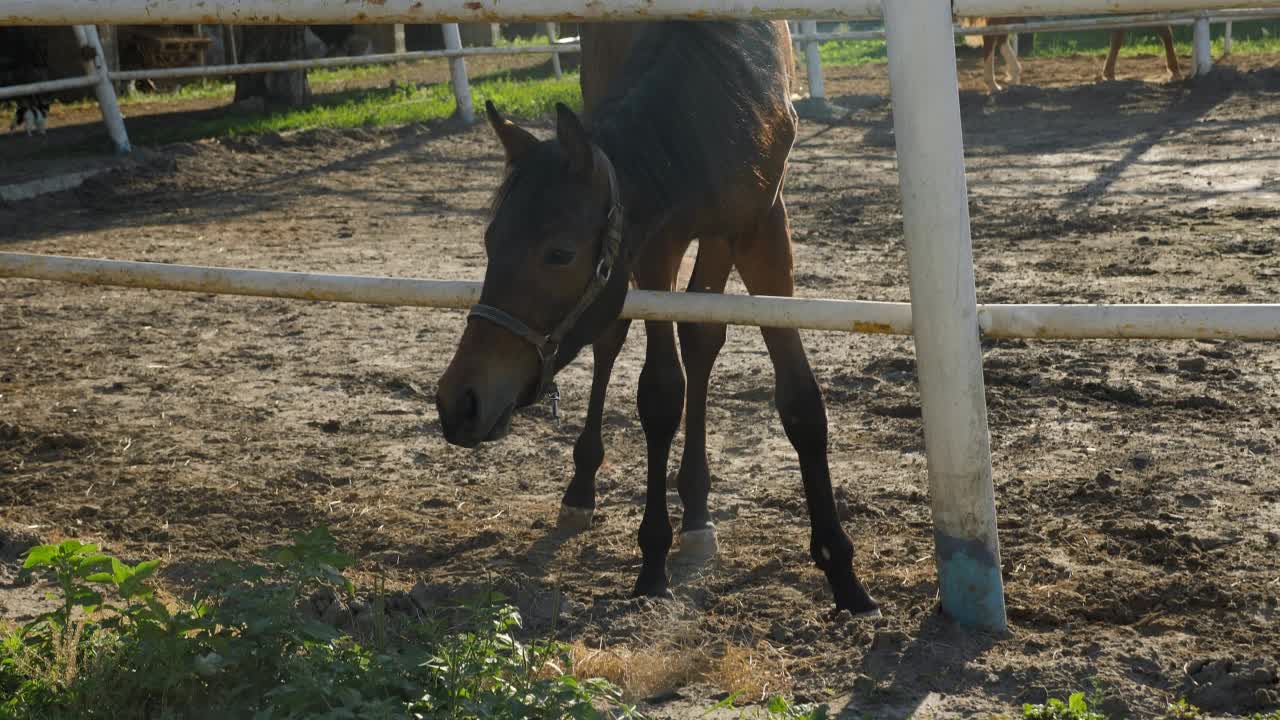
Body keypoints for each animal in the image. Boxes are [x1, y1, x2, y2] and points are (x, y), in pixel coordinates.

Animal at [435, 22, 885, 617]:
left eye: (560, 253)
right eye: (489, 242)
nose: (458, 401)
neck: (711, 95)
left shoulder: (761, 228)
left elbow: (798, 401)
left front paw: (843, 572)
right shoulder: (655, 243)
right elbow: (660, 393)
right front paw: (651, 559)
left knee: (701, 338)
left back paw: (696, 512)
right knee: (612, 341)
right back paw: (584, 488)